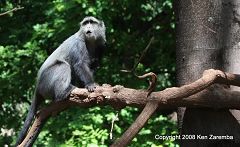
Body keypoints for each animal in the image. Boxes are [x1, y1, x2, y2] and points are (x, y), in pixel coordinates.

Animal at [16, 16, 106, 146]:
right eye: (85, 23)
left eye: (92, 22)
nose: (88, 27)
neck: (90, 42)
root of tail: (37, 86)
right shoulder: (78, 44)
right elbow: (79, 65)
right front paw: (90, 84)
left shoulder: (101, 46)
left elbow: (91, 67)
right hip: (46, 82)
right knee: (63, 66)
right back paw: (63, 92)